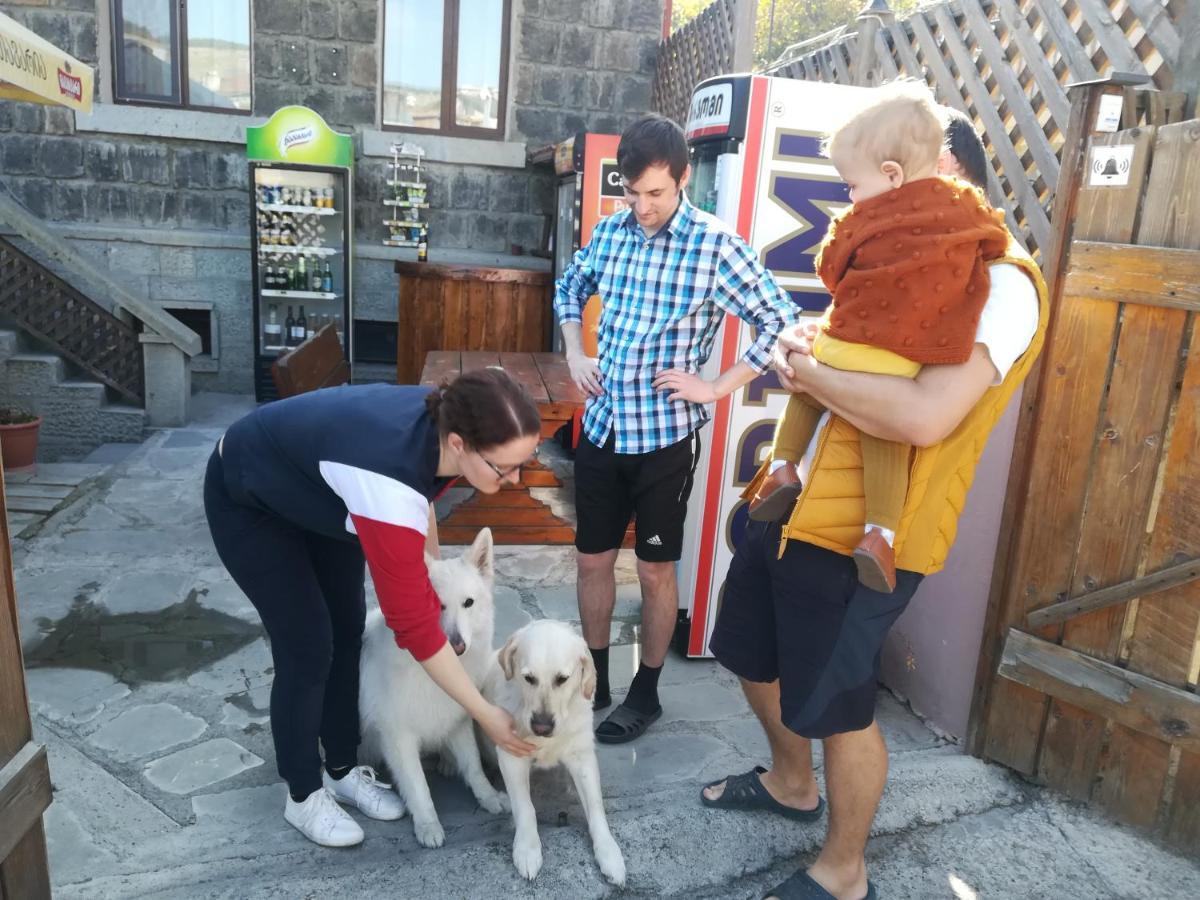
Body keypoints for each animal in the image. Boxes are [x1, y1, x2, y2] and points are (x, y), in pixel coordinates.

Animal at [355, 525, 506, 849]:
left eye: (468, 603)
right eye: (437, 605)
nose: (457, 646)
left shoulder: (459, 719)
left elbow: (474, 767)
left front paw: (489, 798)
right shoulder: (399, 738)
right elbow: (418, 786)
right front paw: (427, 824)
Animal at [477, 619, 628, 888]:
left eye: (562, 679)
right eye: (528, 678)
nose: (542, 727)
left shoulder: (582, 757)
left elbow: (596, 807)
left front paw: (609, 853)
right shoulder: (511, 757)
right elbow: (525, 807)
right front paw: (527, 849)